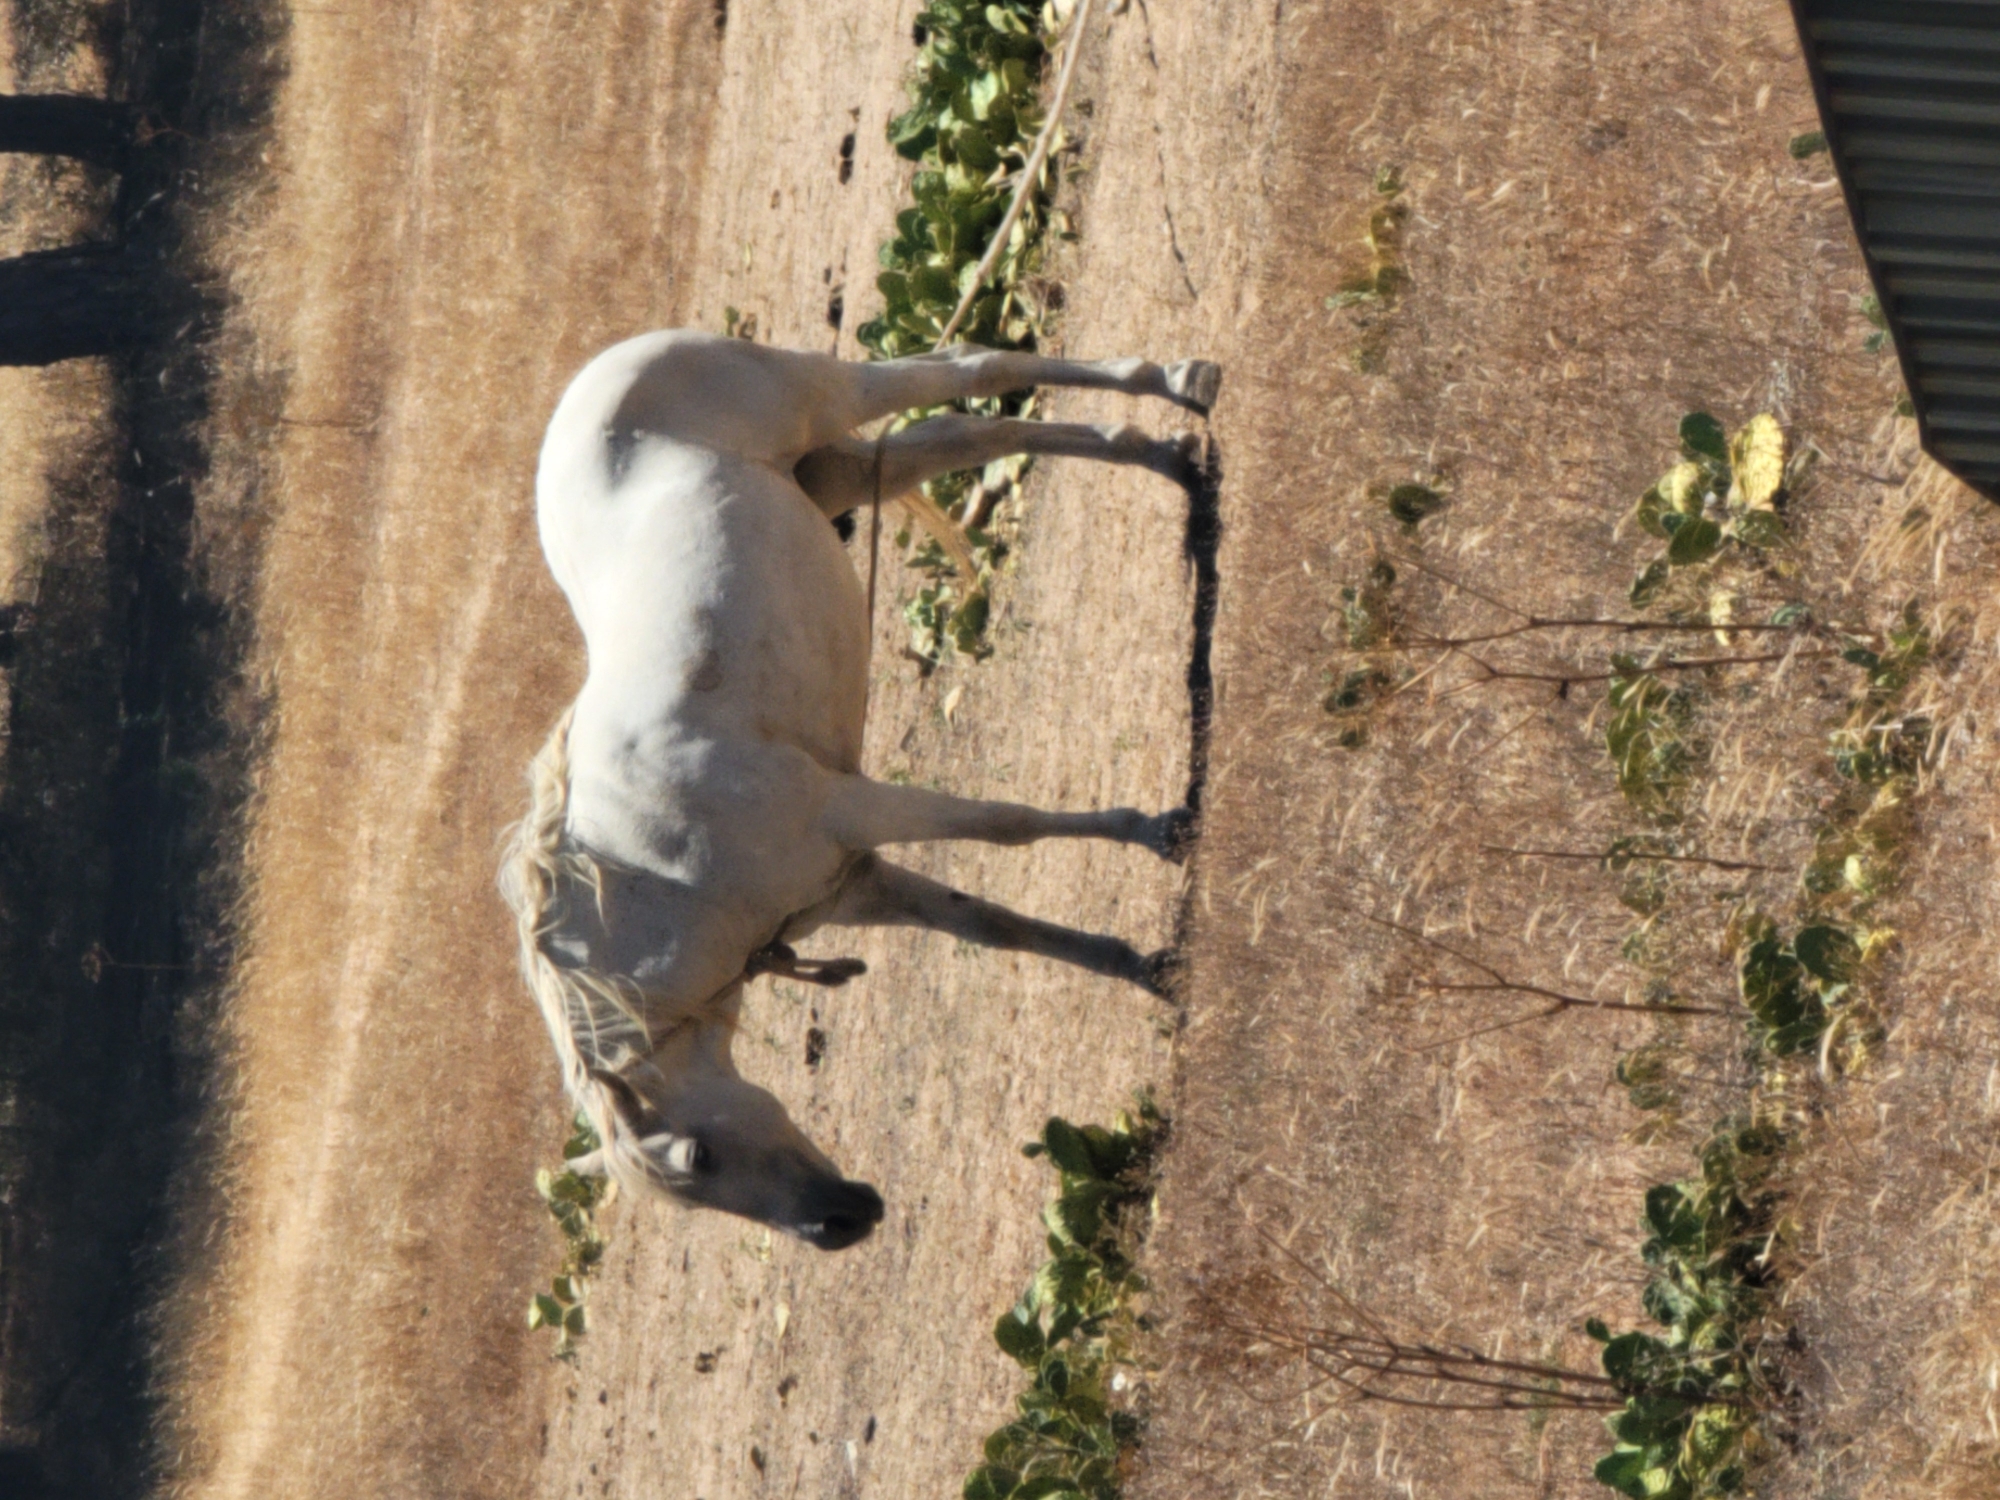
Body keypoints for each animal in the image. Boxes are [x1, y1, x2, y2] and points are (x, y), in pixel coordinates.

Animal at [500, 330, 1220, 1251]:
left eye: (697, 1157)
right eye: (696, 1190)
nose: (837, 1225)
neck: (657, 877)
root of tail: (611, 367)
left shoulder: (857, 807)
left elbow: (1007, 826)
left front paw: (1162, 830)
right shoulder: (852, 886)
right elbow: (993, 927)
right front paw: (1146, 969)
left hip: (828, 398)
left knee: (975, 371)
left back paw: (1179, 385)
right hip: (831, 475)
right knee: (958, 437)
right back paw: (1162, 456)